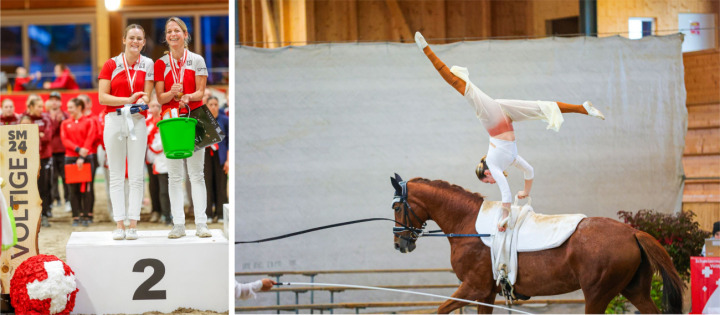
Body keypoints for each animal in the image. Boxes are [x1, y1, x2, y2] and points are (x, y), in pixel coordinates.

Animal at [390, 177, 684, 314]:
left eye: (396, 207)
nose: (399, 243)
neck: (468, 224)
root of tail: (633, 233)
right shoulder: (486, 293)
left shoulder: (473, 287)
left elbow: (440, 309)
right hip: (635, 290)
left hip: (597, 294)